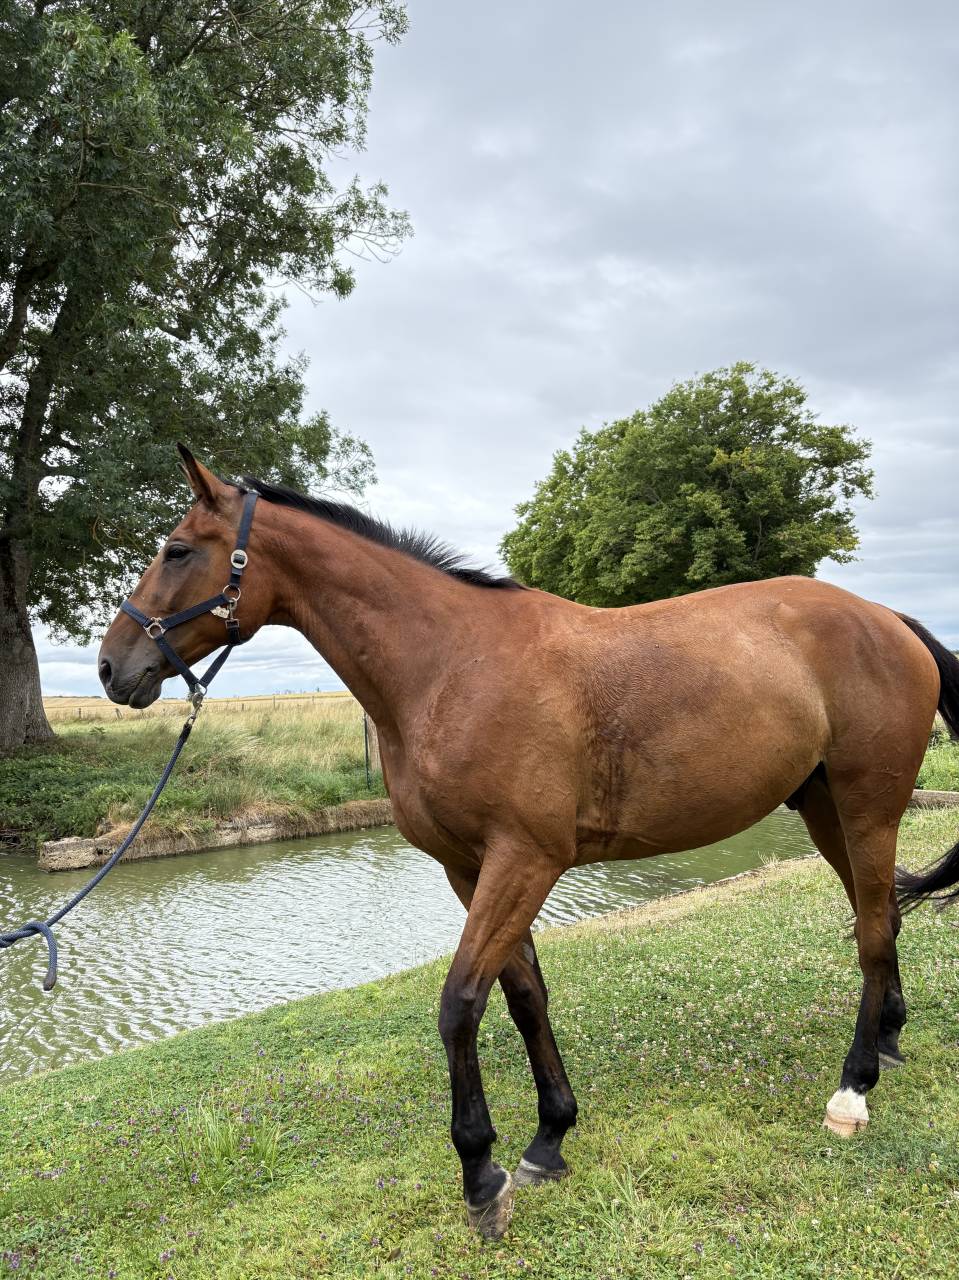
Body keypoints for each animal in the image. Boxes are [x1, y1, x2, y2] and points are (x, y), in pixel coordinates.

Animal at [98, 445, 959, 1240]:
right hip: (823, 810)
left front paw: (481, 1173)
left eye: (178, 550)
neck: (452, 666)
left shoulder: (524, 861)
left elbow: (459, 1003)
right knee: (881, 918)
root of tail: (887, 618)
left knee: (872, 930)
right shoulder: (468, 868)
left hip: (868, 807)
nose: (112, 667)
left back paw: (851, 1090)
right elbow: (522, 997)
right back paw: (886, 1042)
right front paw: (549, 1137)